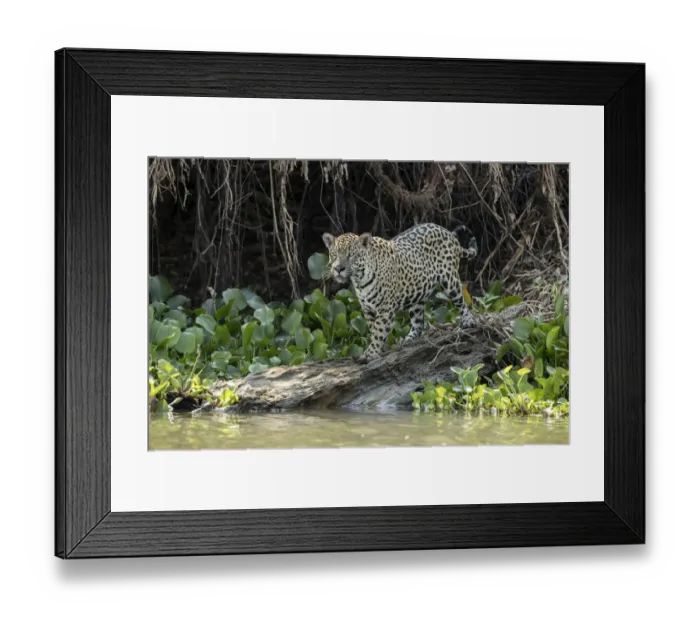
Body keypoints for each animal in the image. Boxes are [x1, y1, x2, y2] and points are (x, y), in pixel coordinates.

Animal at [322, 222, 478, 362]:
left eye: (351, 255)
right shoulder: (368, 310)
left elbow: (379, 331)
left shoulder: (385, 309)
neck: (360, 280)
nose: (338, 269)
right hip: (418, 294)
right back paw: (408, 340)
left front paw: (370, 353)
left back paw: (468, 321)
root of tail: (447, 232)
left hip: (450, 280)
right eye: (334, 254)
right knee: (418, 323)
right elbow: (374, 330)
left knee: (462, 302)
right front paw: (381, 347)